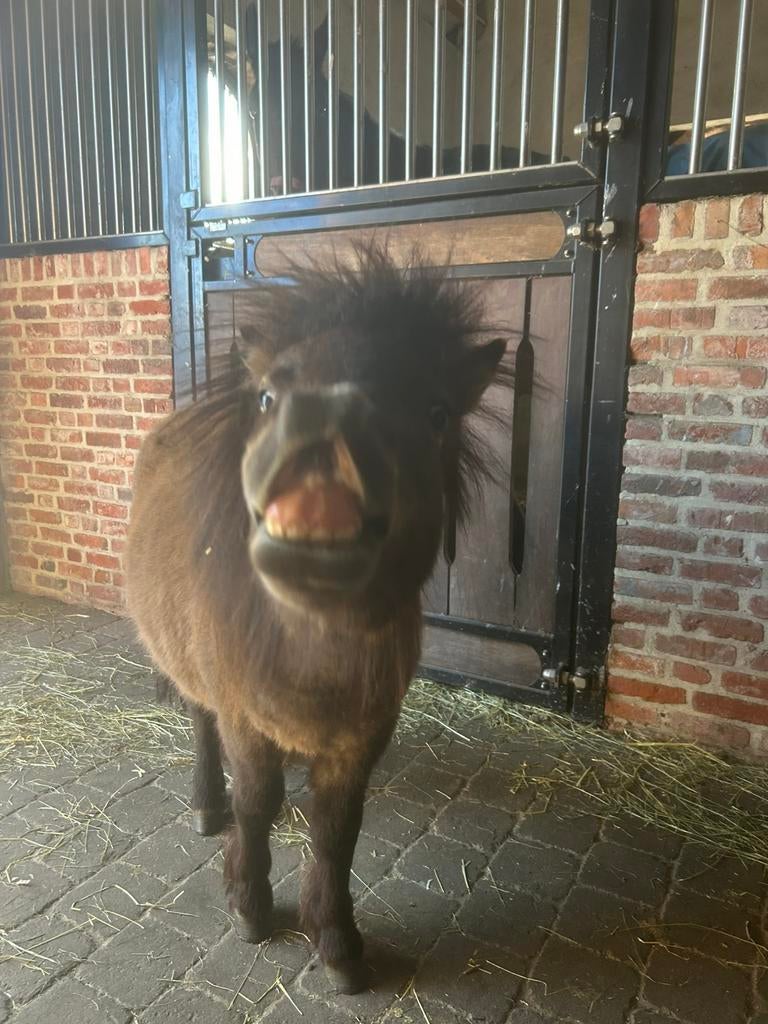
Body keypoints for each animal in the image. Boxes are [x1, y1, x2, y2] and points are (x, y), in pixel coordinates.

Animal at [125, 245, 507, 994]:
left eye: (438, 411)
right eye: (268, 398)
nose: (325, 432)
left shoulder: (364, 735)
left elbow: (337, 828)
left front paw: (336, 941)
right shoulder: (244, 718)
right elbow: (257, 803)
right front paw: (250, 905)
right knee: (200, 726)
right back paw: (206, 805)